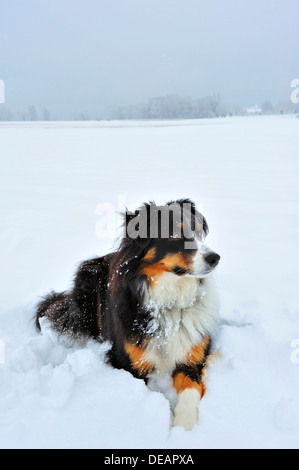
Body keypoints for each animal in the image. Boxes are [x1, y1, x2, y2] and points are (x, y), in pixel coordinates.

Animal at [36, 198, 221, 430]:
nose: (215, 258)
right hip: (90, 274)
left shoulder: (193, 358)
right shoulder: (128, 365)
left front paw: (184, 426)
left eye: (196, 231)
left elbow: (191, 390)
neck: (170, 301)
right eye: (173, 235)